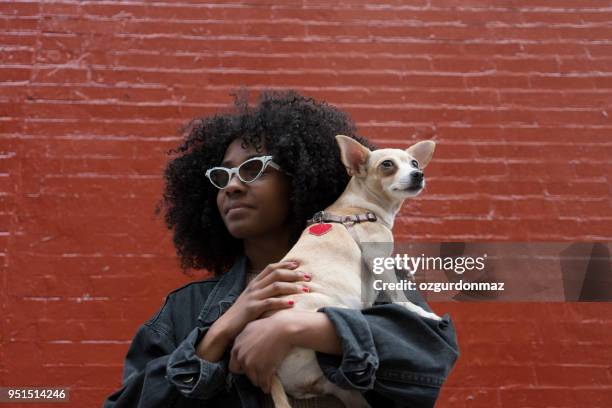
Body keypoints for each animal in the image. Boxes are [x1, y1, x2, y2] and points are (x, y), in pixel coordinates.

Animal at [268, 135, 440, 406]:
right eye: (387, 165)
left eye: (413, 162)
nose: (418, 174)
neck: (361, 209)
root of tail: (272, 373)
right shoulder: (376, 256)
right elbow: (399, 297)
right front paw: (421, 313)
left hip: (343, 391)